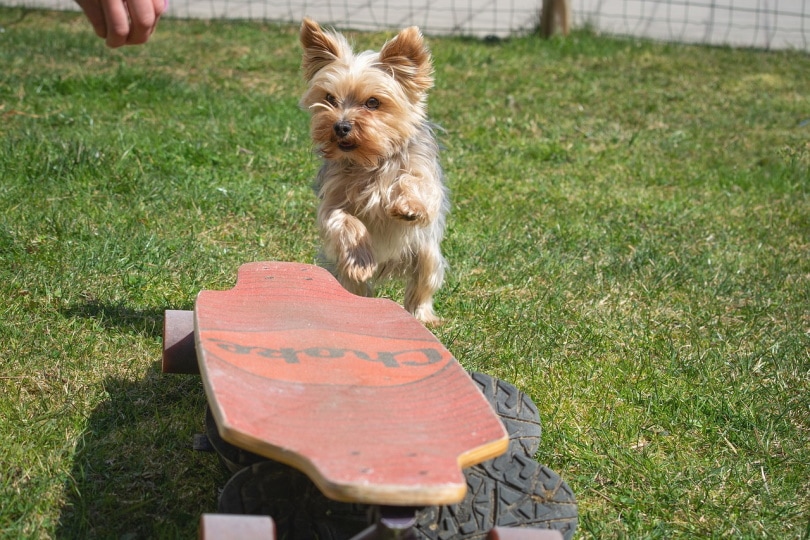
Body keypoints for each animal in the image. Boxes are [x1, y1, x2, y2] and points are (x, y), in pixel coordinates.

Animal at [298, 17, 448, 324]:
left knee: (422, 285)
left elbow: (416, 184)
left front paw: (408, 205)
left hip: (426, 254)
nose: (341, 126)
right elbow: (343, 221)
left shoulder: (426, 179)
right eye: (330, 98)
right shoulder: (332, 201)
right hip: (343, 270)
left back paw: (423, 317)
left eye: (372, 102)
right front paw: (359, 260)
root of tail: (389, 265)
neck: (371, 161)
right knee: (354, 285)